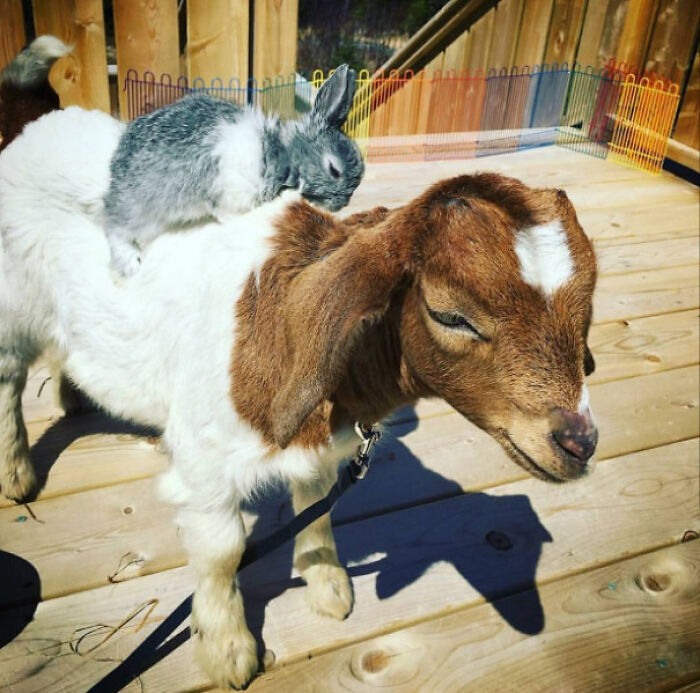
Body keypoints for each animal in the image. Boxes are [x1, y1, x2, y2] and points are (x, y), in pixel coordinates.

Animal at [0, 107, 596, 688]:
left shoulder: (317, 444)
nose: (579, 443)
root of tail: (38, 129)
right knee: (9, 383)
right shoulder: (203, 464)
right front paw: (228, 650)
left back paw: (74, 396)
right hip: (13, 313)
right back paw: (18, 476)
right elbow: (222, 552)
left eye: (584, 313)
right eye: (449, 315)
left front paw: (329, 587)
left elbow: (316, 508)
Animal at [105, 65, 366, 276]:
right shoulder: (227, 189)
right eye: (334, 169)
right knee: (115, 228)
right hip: (142, 211)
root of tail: (114, 179)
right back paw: (131, 263)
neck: (280, 153)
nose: (342, 204)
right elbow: (222, 210)